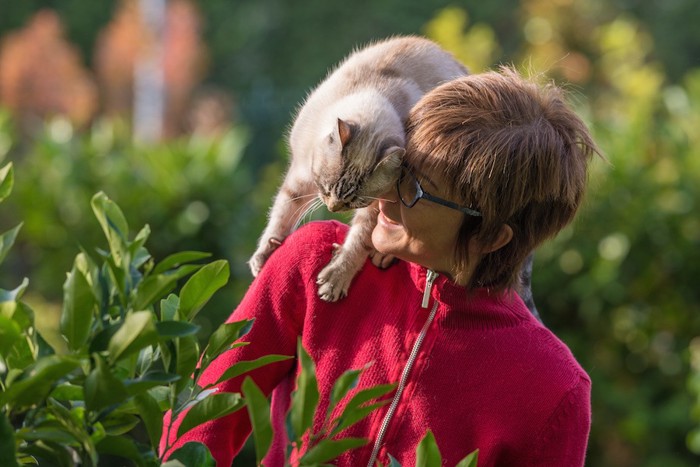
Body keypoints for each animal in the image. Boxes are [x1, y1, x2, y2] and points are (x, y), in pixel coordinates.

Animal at [249, 34, 468, 302]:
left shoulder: (377, 206)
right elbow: (281, 215)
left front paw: (336, 278)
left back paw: (382, 255)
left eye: (354, 202)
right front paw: (264, 255)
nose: (332, 208)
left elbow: (359, 240)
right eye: (326, 188)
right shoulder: (300, 177)